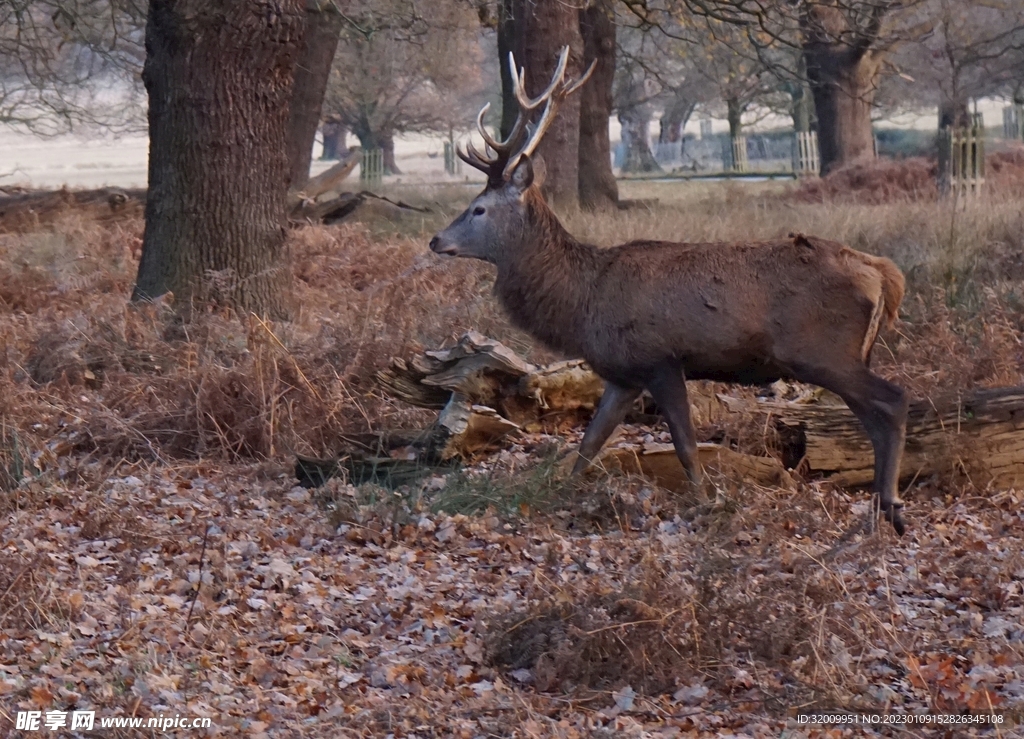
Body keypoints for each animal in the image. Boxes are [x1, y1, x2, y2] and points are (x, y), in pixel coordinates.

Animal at [429, 48, 910, 535]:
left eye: (478, 208)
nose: (436, 240)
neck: (584, 303)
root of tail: (883, 274)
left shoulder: (660, 359)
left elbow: (685, 444)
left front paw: (704, 502)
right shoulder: (623, 374)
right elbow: (589, 442)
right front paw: (560, 495)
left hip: (821, 350)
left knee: (893, 401)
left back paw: (890, 506)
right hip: (845, 353)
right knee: (872, 415)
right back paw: (881, 503)